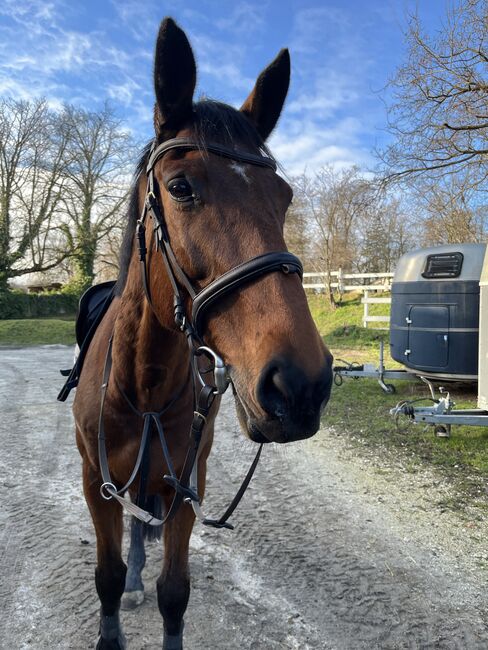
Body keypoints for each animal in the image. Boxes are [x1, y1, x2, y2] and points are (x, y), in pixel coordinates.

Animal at [71, 15, 332, 648]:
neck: (141, 384)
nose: (300, 385)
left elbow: (174, 592)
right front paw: (112, 622)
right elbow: (106, 574)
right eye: (181, 187)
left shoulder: (188, 486)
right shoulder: (95, 484)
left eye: (283, 197)